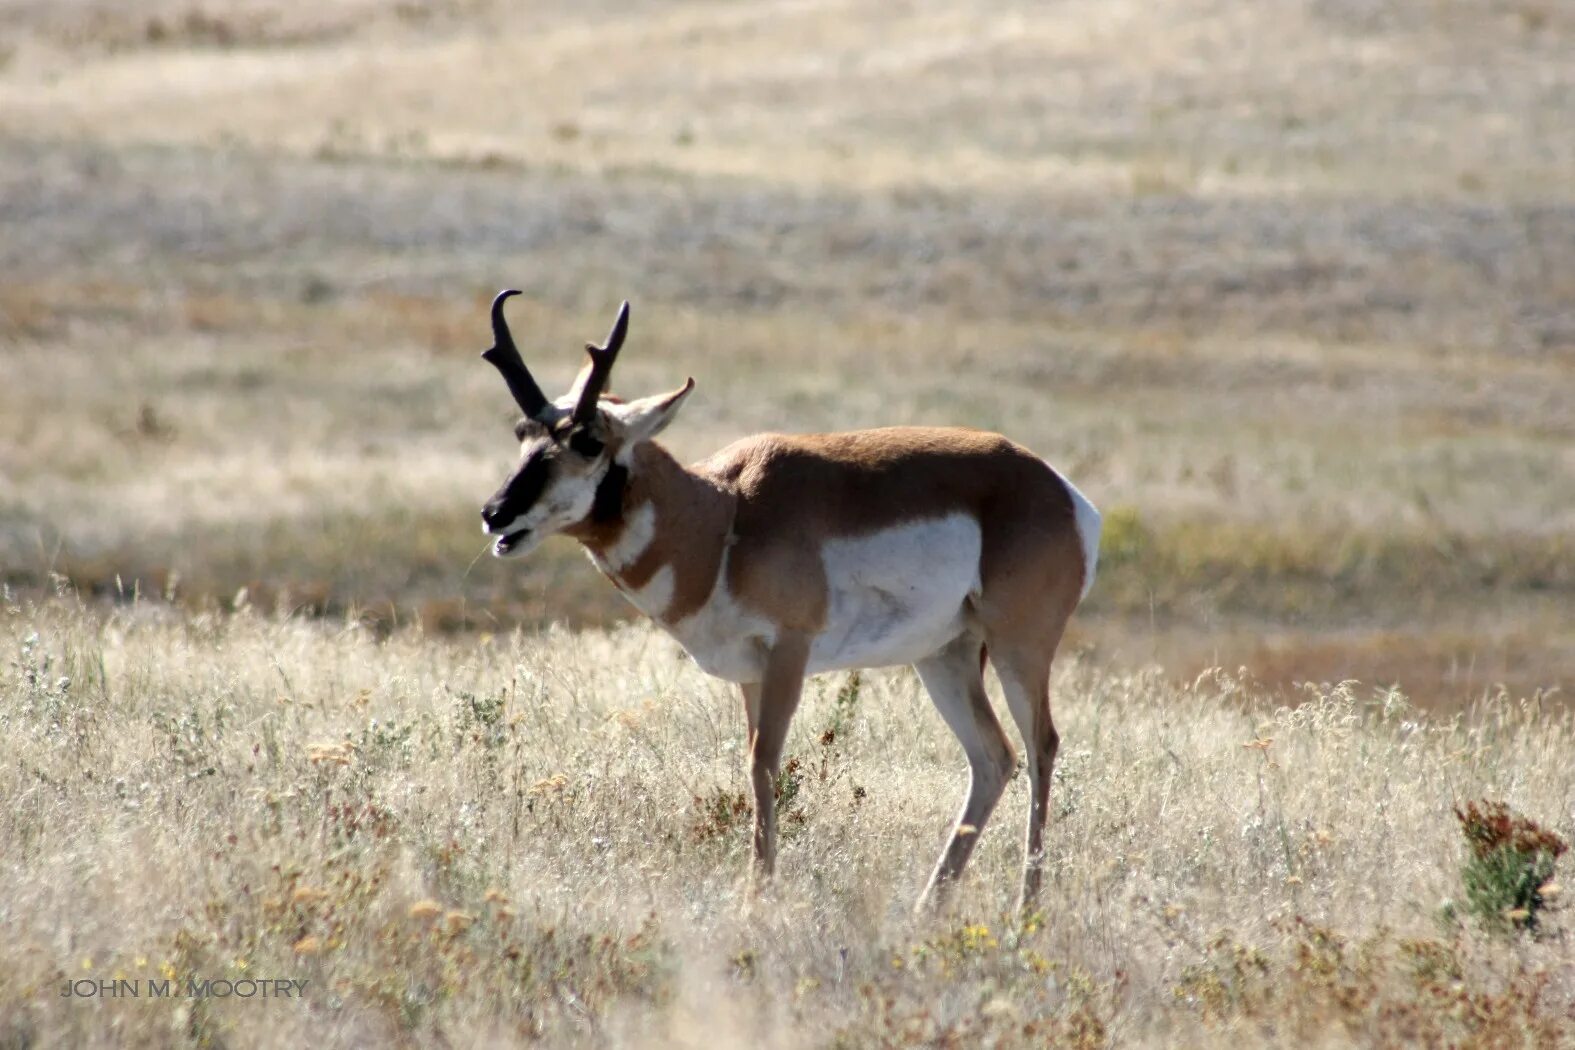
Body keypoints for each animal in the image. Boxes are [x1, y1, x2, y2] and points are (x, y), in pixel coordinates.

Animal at [472, 291, 1102, 906]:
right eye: (523, 434)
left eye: (587, 440)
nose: (495, 514)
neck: (725, 512)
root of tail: (1061, 490)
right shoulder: (752, 674)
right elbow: (754, 764)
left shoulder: (788, 654)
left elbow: (765, 764)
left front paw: (758, 899)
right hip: (945, 657)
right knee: (994, 758)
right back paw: (929, 906)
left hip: (1019, 647)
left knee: (1042, 745)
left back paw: (1026, 909)